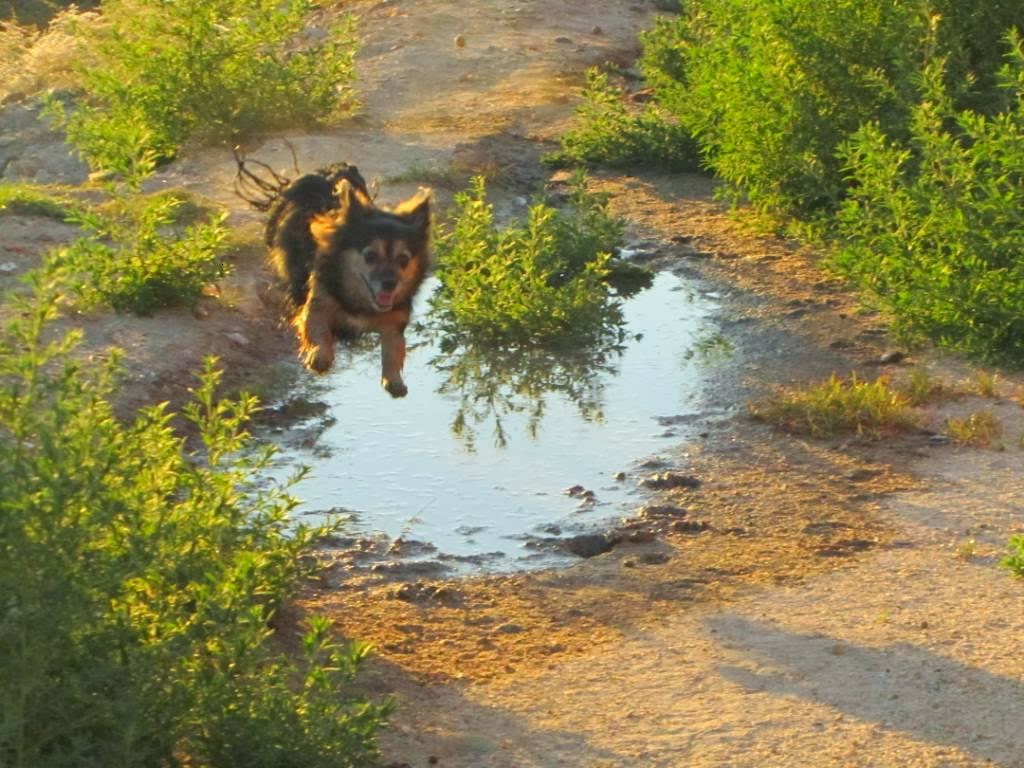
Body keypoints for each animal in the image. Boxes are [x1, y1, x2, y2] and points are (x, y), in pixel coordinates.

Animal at [239, 155, 432, 397]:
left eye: (404, 260)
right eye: (370, 256)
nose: (390, 284)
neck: (361, 302)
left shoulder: (395, 319)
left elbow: (394, 347)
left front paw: (393, 379)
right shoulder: (317, 301)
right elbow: (318, 327)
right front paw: (320, 356)